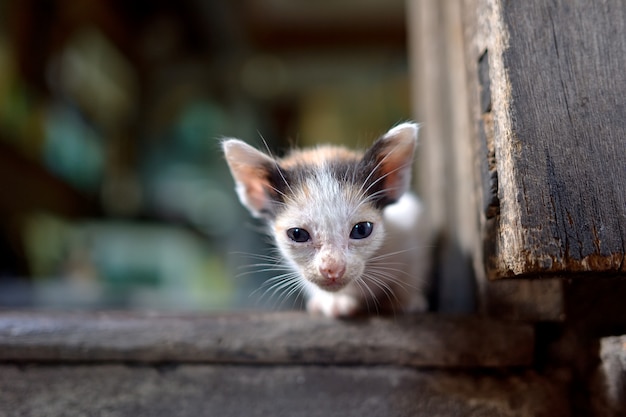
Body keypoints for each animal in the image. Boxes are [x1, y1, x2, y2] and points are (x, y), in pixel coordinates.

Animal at [222, 122, 426, 316]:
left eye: (362, 230)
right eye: (297, 234)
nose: (333, 269)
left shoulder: (410, 219)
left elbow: (413, 268)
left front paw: (403, 301)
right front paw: (333, 301)